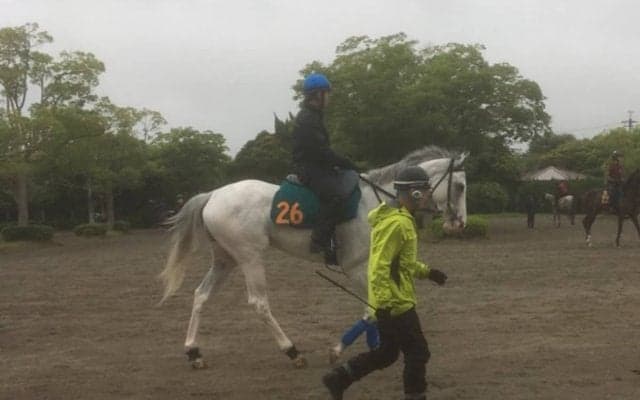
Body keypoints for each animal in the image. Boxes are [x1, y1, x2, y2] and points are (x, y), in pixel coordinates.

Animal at [158, 146, 468, 369]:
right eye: (460, 186)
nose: (460, 224)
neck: (375, 202)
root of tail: (213, 195)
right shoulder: (355, 267)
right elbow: (370, 310)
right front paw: (338, 350)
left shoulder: (370, 264)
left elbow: (375, 307)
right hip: (250, 258)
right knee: (259, 303)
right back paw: (292, 351)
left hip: (226, 260)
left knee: (201, 295)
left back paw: (194, 352)